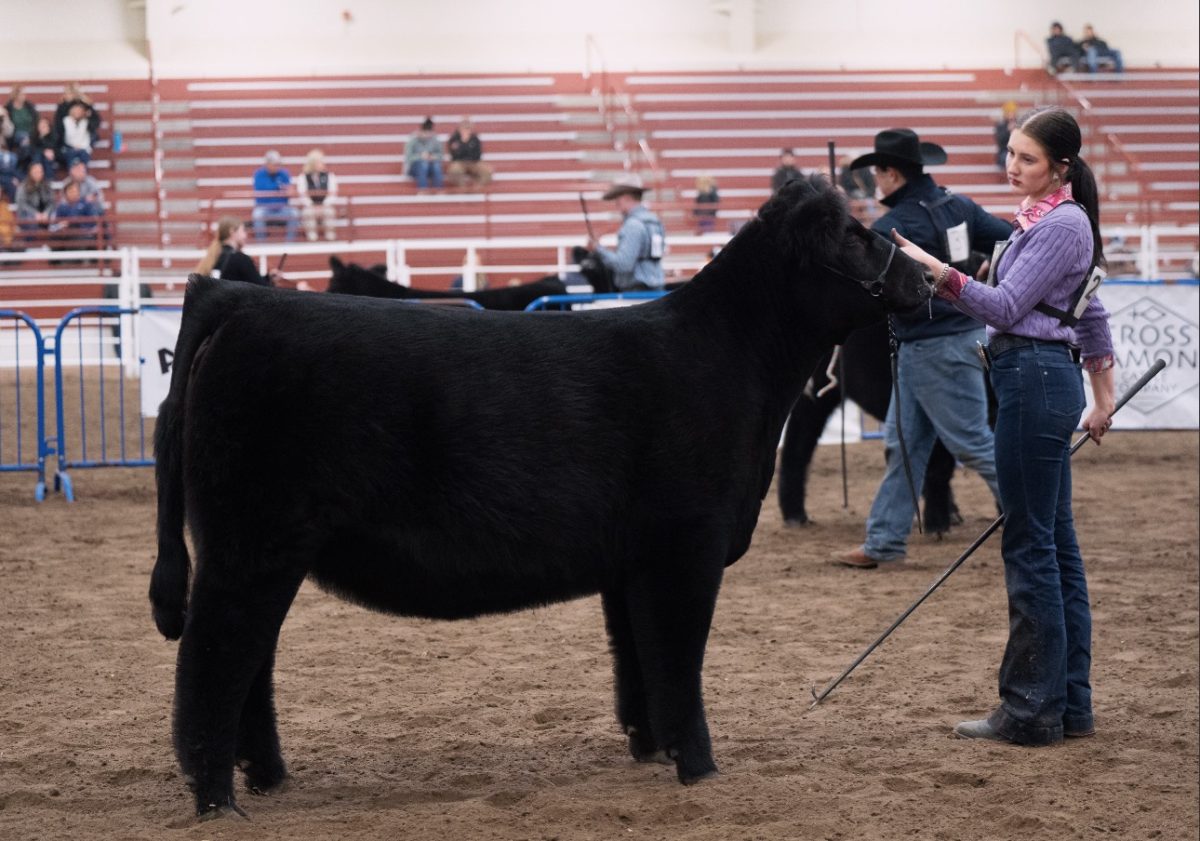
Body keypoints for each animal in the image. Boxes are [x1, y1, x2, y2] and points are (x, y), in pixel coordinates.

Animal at [150, 175, 931, 815]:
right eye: (856, 234)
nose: (930, 279)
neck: (729, 356)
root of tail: (236, 299)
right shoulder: (687, 546)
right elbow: (679, 661)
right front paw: (701, 767)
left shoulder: (632, 562)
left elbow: (638, 664)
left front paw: (655, 750)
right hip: (251, 545)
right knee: (213, 660)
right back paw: (218, 798)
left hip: (259, 550)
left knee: (249, 663)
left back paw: (267, 778)